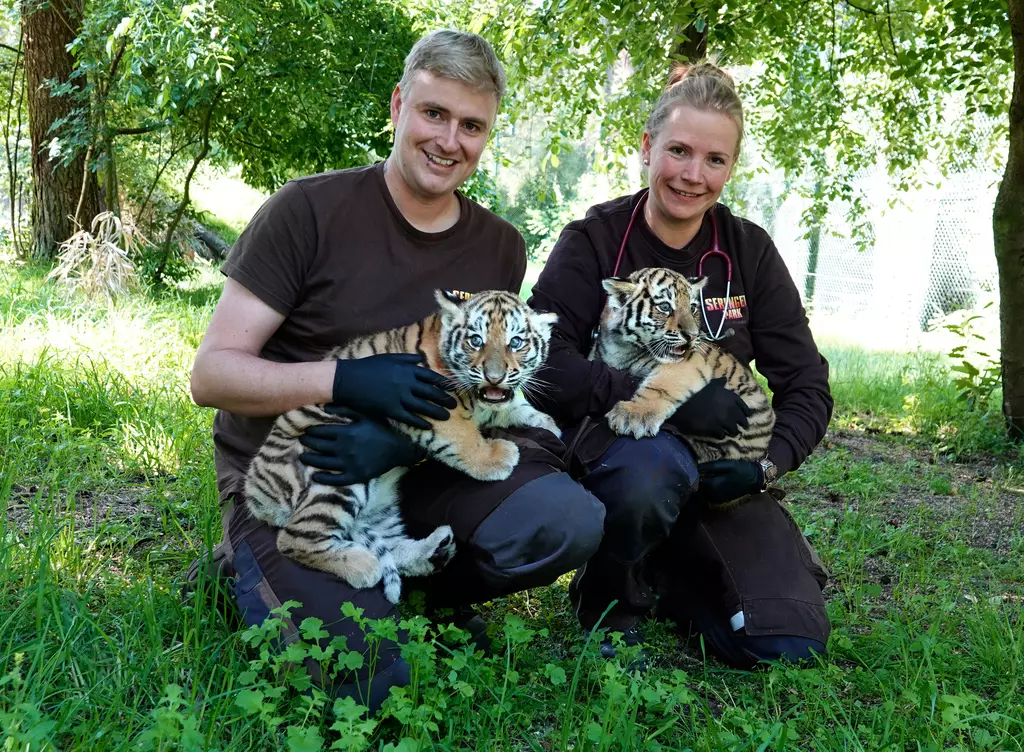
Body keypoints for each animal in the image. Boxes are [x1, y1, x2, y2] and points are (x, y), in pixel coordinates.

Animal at [243, 289, 560, 604]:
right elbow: (465, 437)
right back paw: (364, 566)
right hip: (335, 476)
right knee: (294, 538)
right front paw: (497, 458)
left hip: (380, 505)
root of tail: (254, 492)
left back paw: (436, 549)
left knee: (391, 545)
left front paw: (551, 428)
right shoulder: (434, 406)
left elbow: (519, 409)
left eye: (515, 342)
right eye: (475, 340)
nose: (494, 377)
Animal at [590, 266, 775, 463]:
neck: (622, 347)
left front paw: (633, 415)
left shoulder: (687, 363)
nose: (693, 335)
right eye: (664, 307)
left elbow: (659, 386)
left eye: (692, 307)